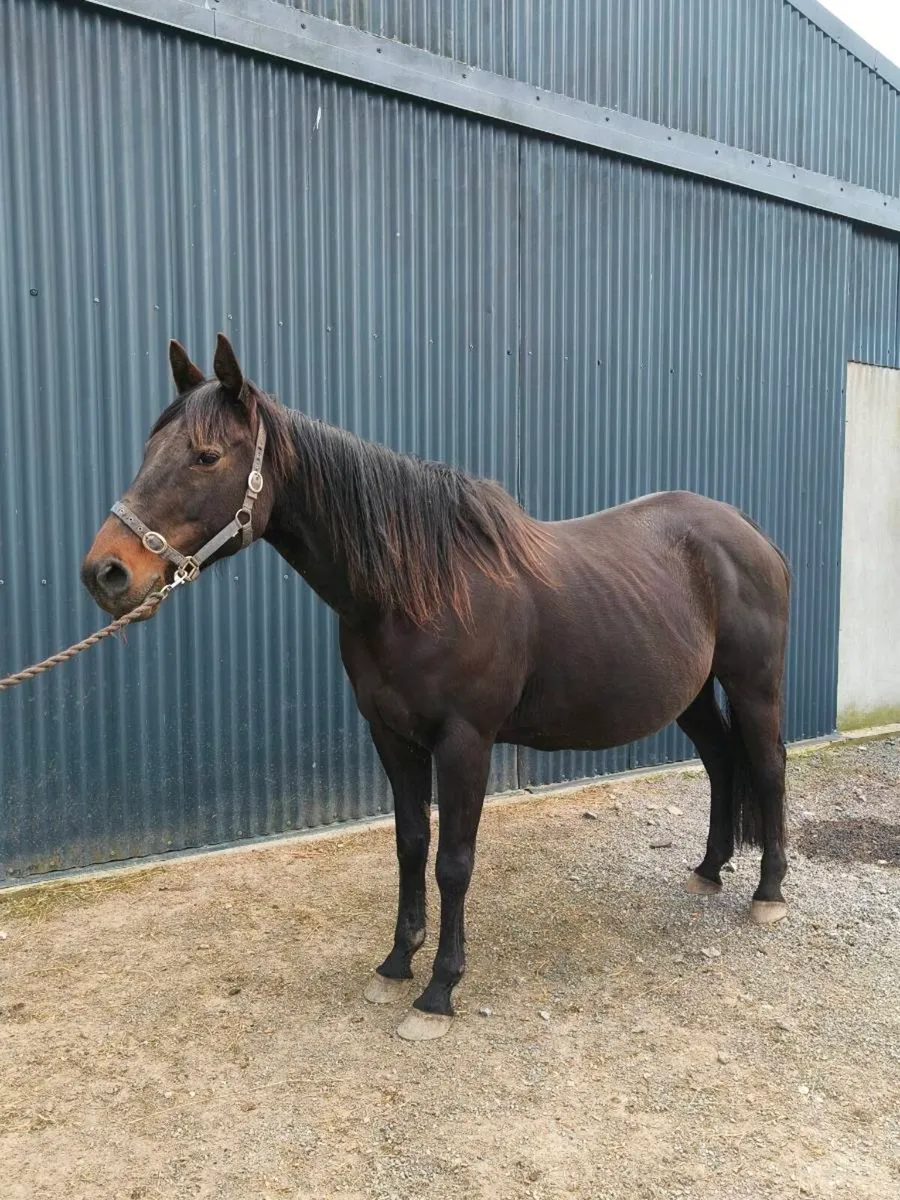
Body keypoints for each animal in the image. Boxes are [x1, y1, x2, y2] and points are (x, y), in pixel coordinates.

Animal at [82, 335, 791, 1041]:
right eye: (149, 449)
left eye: (206, 456)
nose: (106, 572)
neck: (417, 589)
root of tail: (747, 528)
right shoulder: (391, 735)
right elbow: (410, 845)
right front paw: (397, 961)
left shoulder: (464, 743)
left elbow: (454, 860)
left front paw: (440, 989)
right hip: (691, 695)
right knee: (721, 761)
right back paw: (708, 870)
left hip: (753, 686)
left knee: (767, 767)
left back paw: (768, 893)